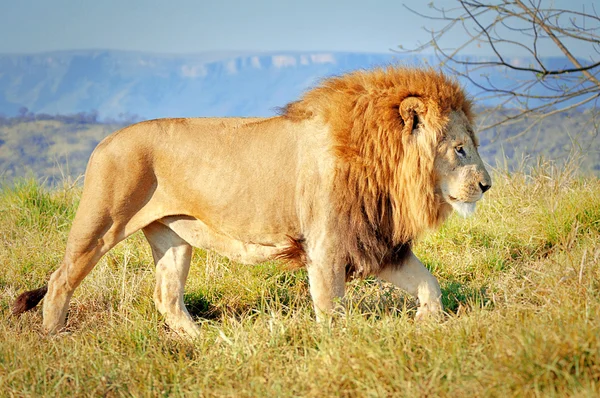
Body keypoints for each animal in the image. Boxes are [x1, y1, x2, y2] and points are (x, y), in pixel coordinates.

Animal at [12, 67, 492, 338]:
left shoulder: (378, 243)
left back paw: (206, 341)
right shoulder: (328, 246)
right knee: (60, 280)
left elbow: (430, 285)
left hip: (171, 236)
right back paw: (54, 338)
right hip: (101, 222)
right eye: (461, 149)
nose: (487, 185)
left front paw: (427, 325)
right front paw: (340, 347)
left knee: (168, 297)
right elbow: (330, 308)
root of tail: (104, 140)